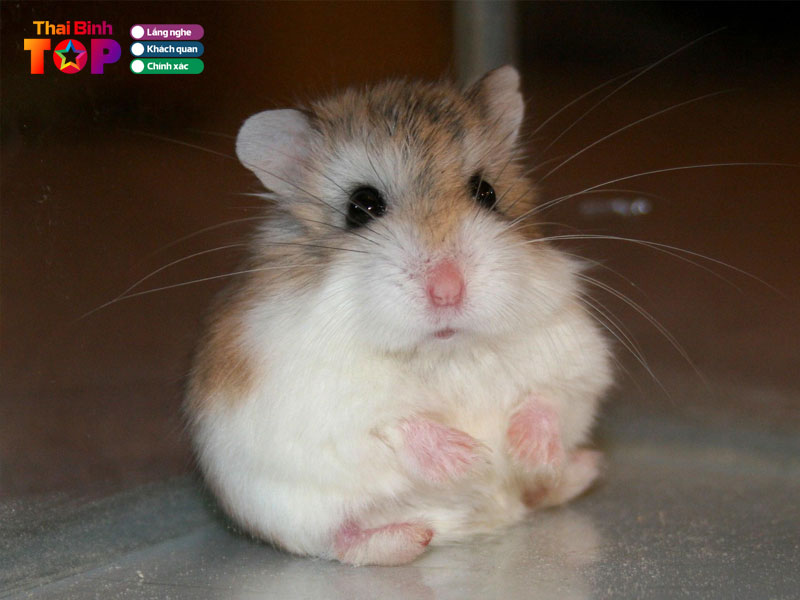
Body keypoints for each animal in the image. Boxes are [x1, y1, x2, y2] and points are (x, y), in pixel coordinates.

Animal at [185, 66, 613, 566]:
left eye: (486, 192)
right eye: (361, 206)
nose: (447, 290)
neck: (444, 351)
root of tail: (487, 519)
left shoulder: (575, 357)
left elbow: (547, 397)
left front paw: (524, 449)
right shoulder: (323, 402)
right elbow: (394, 421)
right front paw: (471, 456)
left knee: (539, 494)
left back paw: (578, 468)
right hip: (286, 513)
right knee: (340, 540)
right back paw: (412, 536)